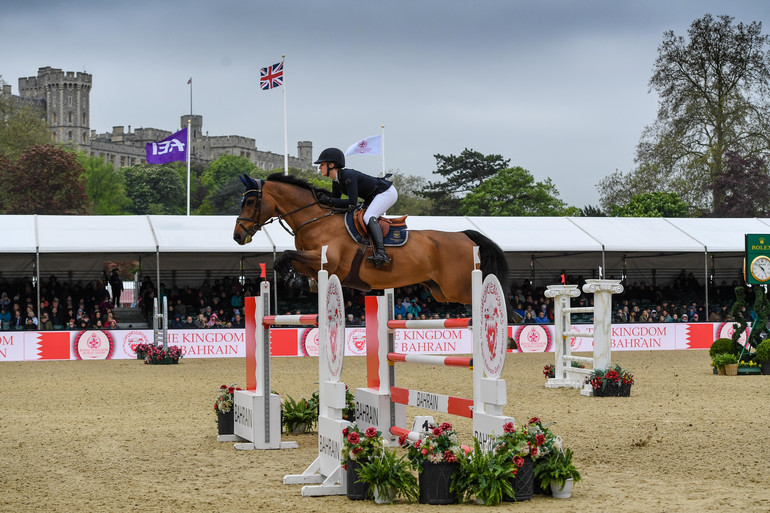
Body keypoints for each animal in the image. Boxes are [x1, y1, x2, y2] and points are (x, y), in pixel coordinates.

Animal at [231, 172, 512, 316]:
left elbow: (285, 255)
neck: (315, 219)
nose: (237, 236)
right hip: (439, 291)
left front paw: (294, 280)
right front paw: (301, 282)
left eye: (250, 202)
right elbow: (286, 259)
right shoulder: (314, 262)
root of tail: (465, 235)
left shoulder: (328, 260)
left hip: (457, 288)